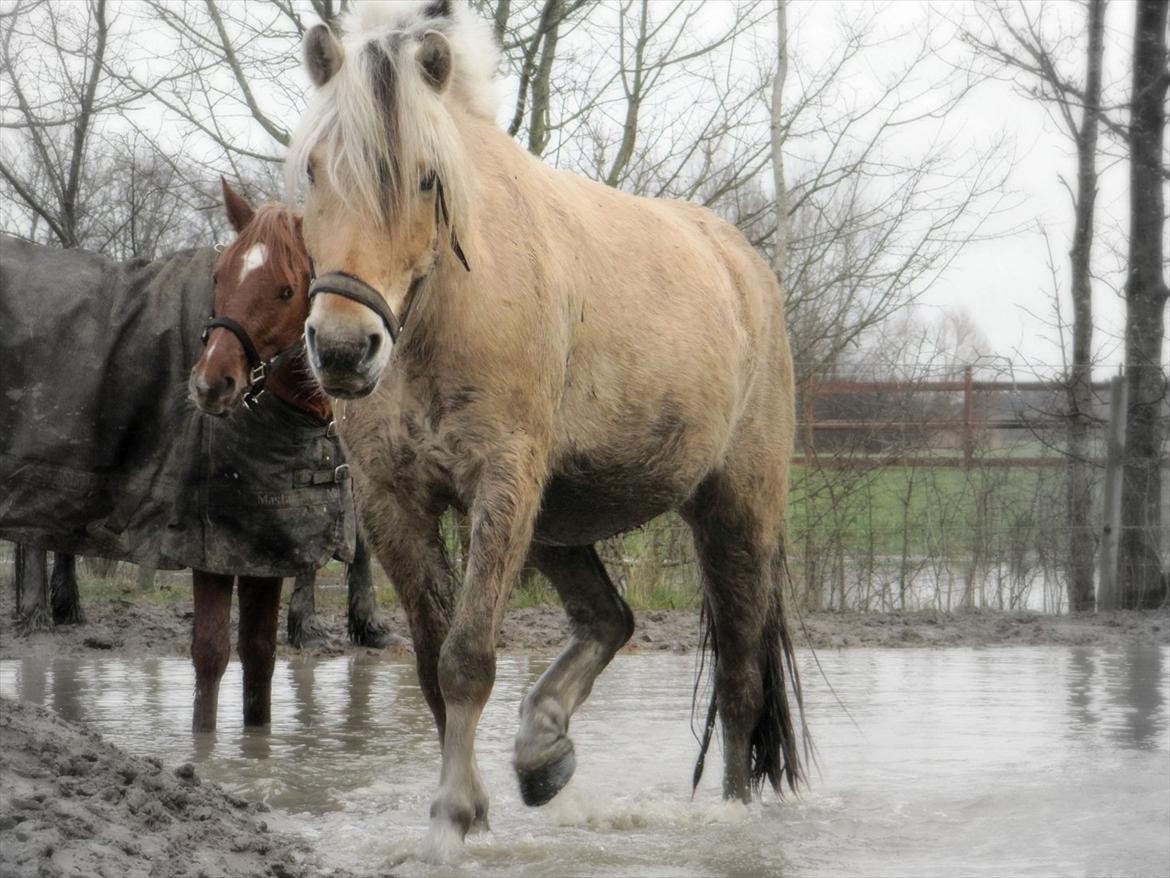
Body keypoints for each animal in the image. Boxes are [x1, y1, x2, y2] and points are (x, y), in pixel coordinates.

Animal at [291, 0, 804, 856]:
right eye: (312, 170)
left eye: (426, 179)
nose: (341, 347)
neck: (443, 315)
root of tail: (746, 269)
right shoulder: (395, 500)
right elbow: (432, 667)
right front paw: (475, 797)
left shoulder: (501, 482)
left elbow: (466, 658)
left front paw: (458, 814)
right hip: (559, 521)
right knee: (610, 619)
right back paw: (542, 747)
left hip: (734, 512)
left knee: (738, 683)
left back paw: (729, 810)